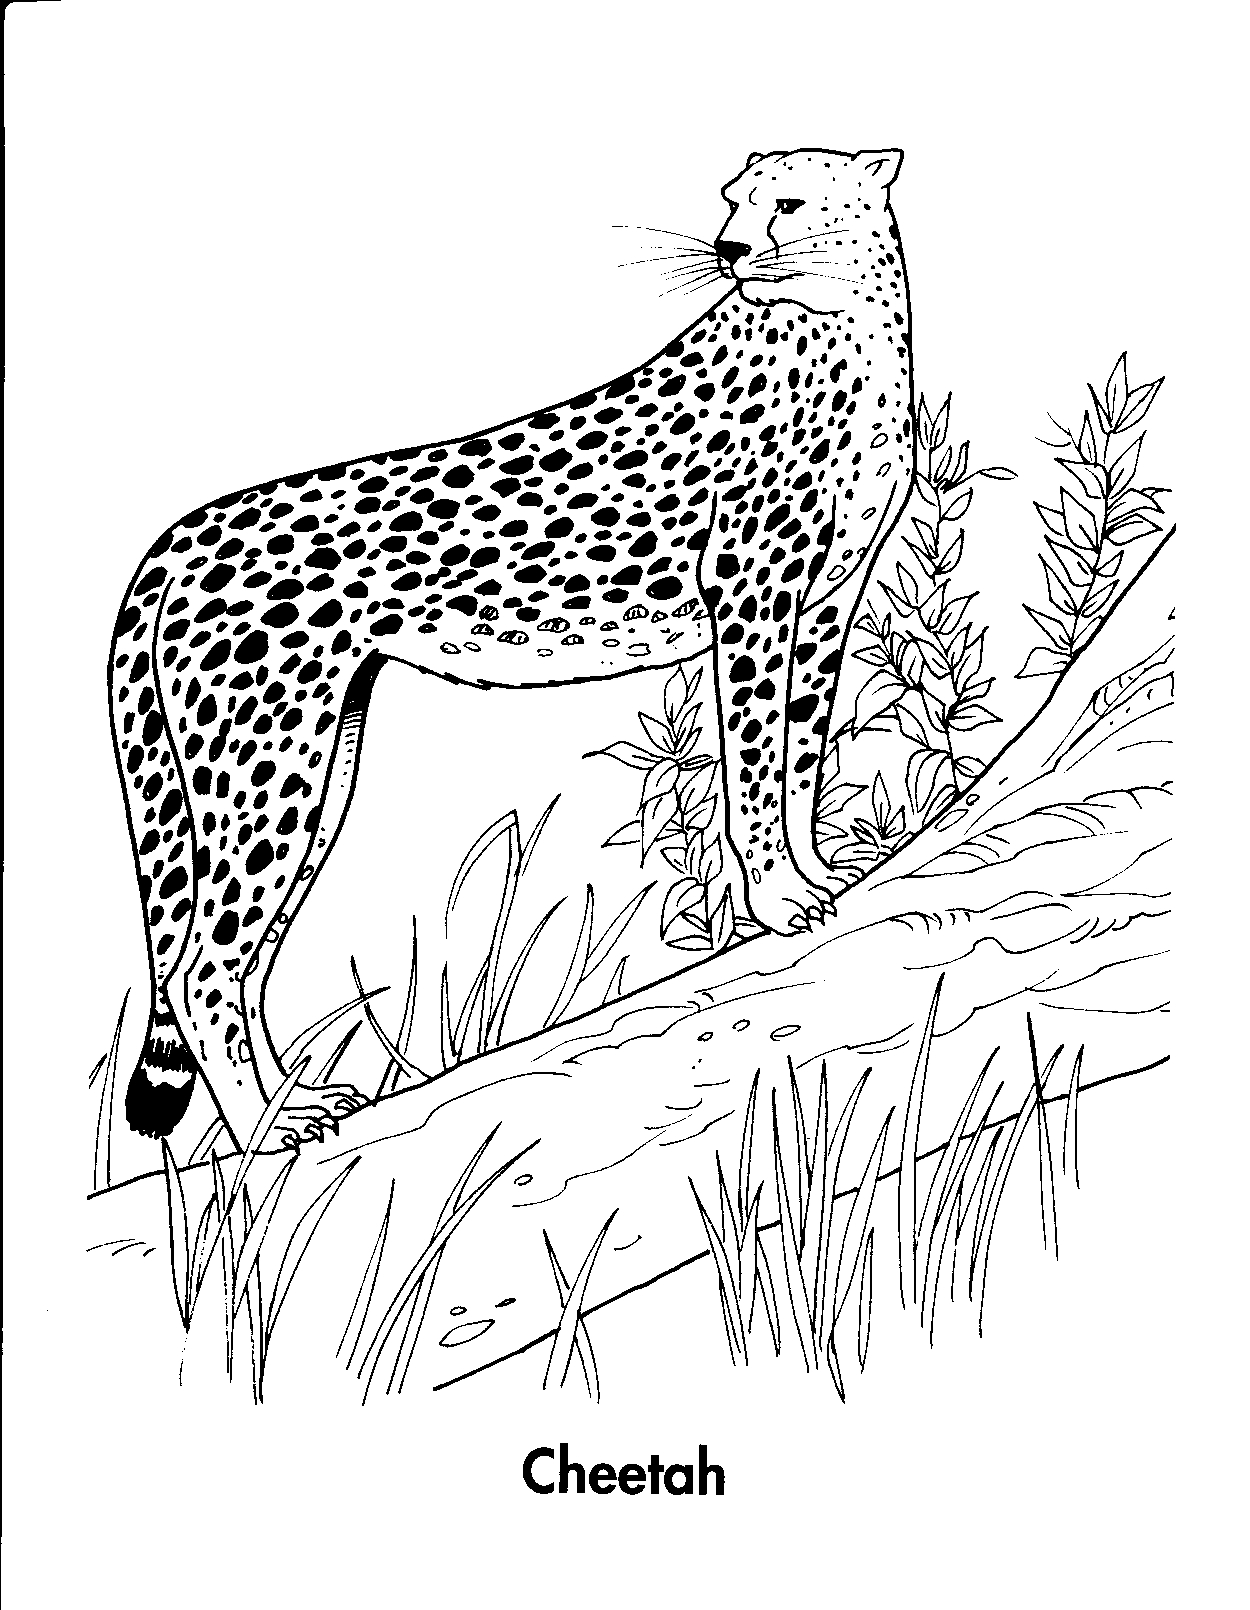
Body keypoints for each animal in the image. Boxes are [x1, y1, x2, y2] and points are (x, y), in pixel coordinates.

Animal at [110, 146, 916, 1151]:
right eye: (735, 203)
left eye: (791, 203)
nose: (730, 250)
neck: (841, 323)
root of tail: (176, 537)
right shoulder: (751, 602)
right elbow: (757, 770)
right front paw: (773, 898)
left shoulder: (823, 609)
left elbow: (800, 762)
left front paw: (810, 873)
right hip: (262, 765)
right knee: (200, 971)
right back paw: (269, 1128)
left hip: (319, 764)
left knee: (239, 959)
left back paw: (292, 1100)